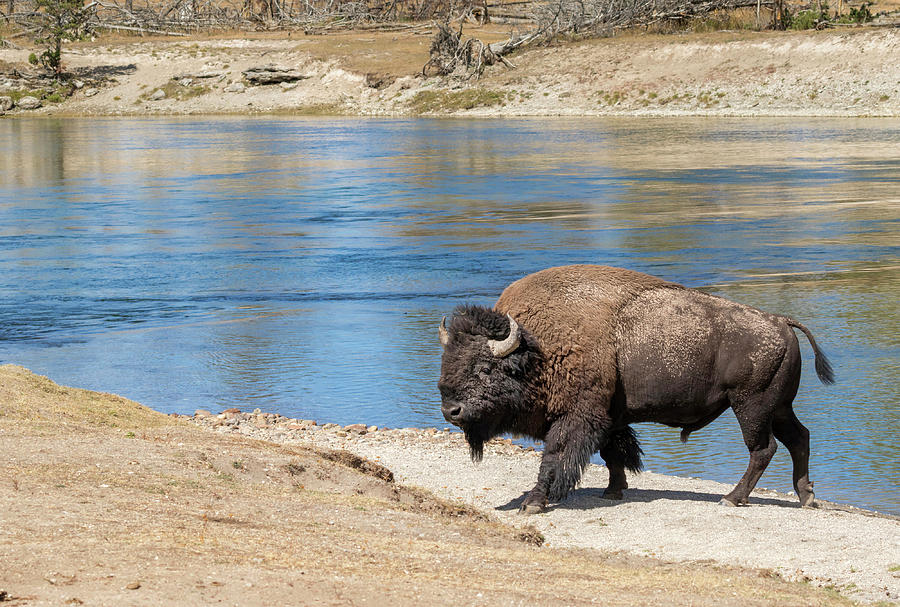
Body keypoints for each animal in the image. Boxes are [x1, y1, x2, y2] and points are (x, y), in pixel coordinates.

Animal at [440, 266, 832, 512]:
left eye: (485, 368)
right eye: (447, 361)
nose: (450, 410)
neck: (536, 348)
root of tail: (780, 321)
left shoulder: (576, 416)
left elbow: (556, 457)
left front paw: (533, 502)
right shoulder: (609, 416)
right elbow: (613, 452)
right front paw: (613, 491)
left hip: (751, 406)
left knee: (763, 449)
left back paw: (732, 498)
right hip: (778, 407)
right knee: (799, 438)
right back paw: (806, 497)